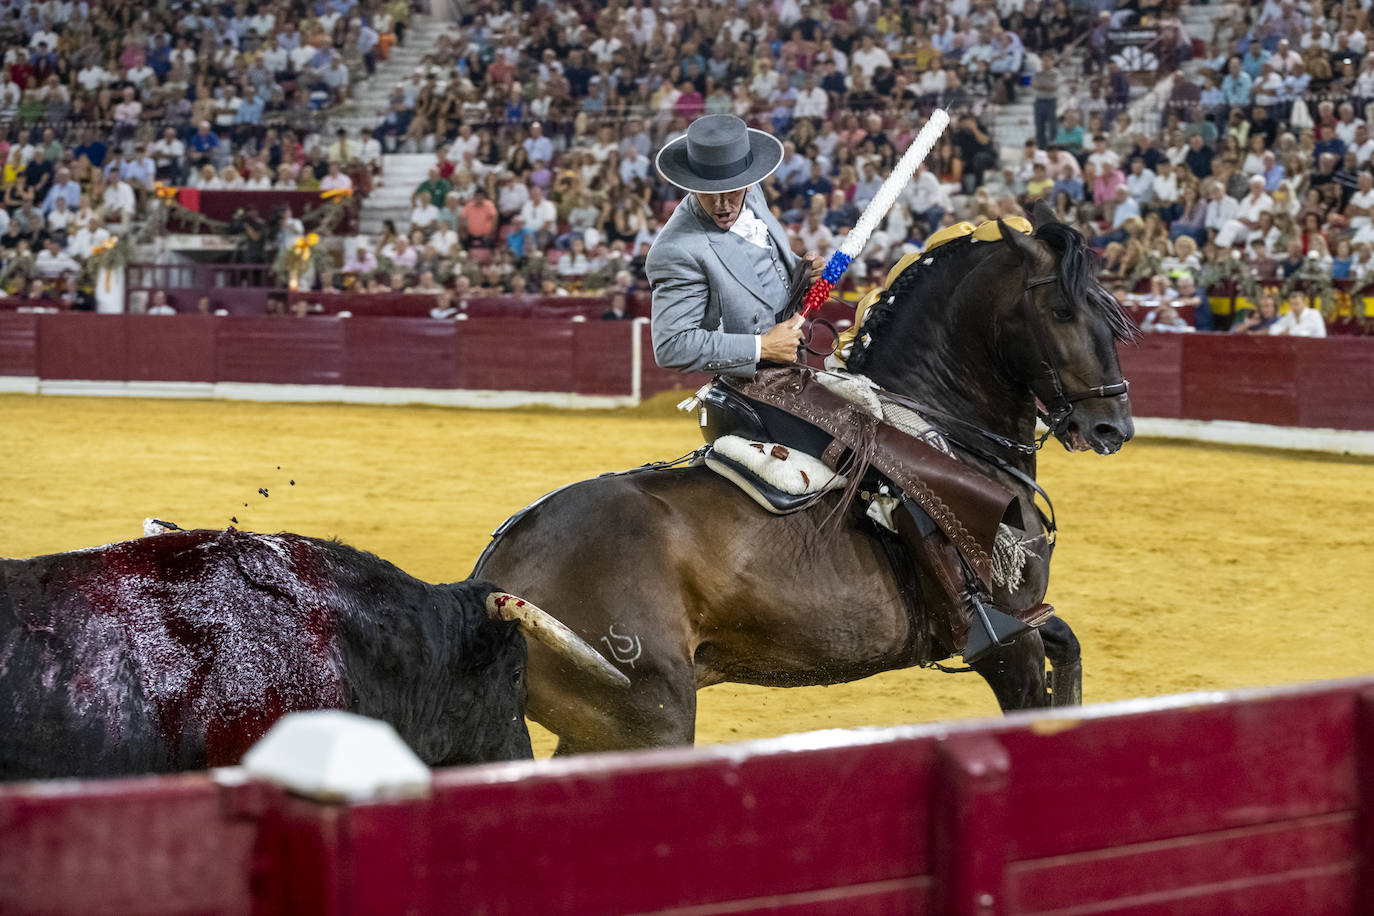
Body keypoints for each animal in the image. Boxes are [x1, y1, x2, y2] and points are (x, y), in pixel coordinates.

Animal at [472, 205, 1137, 752]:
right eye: (1061, 311)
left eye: (1110, 311)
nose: (1113, 426)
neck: (947, 429)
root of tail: (495, 571)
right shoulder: (1006, 641)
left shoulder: (1031, 619)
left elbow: (1070, 650)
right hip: (649, 715)